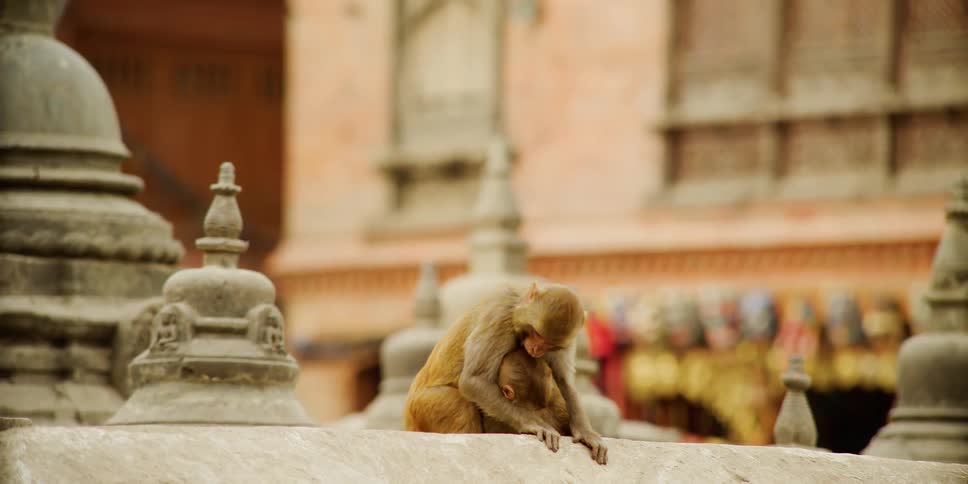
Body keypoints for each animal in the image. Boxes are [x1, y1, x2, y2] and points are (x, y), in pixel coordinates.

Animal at [404, 281, 608, 465]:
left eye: (550, 344)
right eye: (536, 334)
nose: (536, 349)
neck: (517, 307)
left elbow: (564, 380)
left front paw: (584, 431)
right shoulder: (500, 317)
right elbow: (473, 379)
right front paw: (533, 423)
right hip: (423, 405)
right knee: (456, 403)